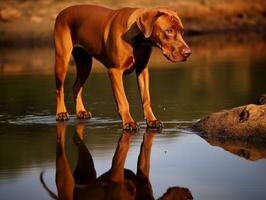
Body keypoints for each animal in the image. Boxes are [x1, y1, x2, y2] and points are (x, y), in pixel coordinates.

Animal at [54, 4, 191, 130]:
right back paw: (61, 113)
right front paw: (129, 122)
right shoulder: (115, 71)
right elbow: (123, 101)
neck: (139, 40)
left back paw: (81, 111)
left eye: (182, 31)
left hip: (85, 63)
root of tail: (62, 12)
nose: (188, 53)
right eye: (169, 30)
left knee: (76, 87)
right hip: (62, 60)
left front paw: (152, 120)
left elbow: (146, 99)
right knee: (59, 89)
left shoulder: (142, 70)